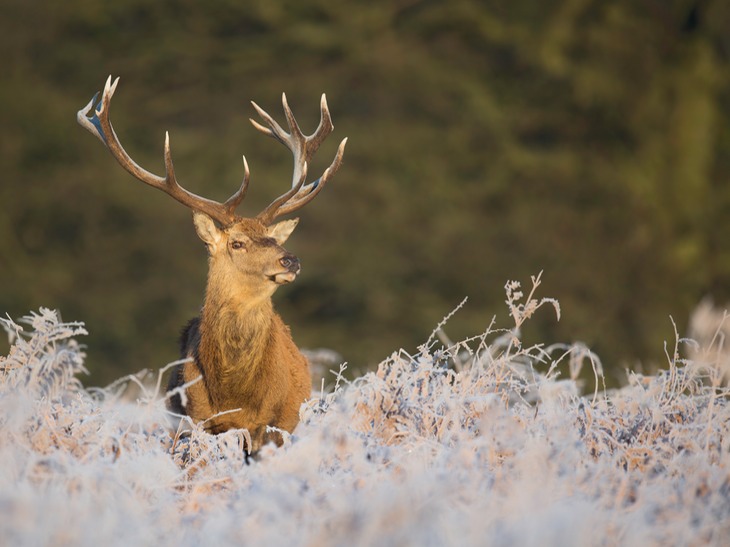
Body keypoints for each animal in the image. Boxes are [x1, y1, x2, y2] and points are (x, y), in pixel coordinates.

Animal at [78, 77, 346, 454]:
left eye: (274, 238)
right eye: (237, 243)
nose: (291, 259)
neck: (233, 393)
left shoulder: (268, 423)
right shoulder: (195, 420)